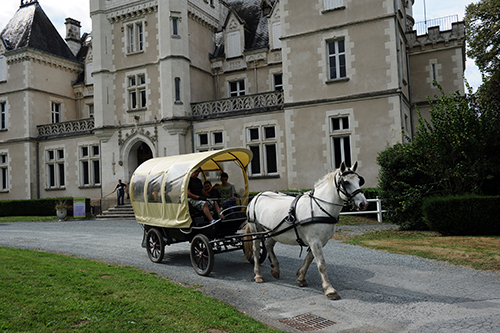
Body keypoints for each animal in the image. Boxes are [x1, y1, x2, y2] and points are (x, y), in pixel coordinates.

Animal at [245, 161, 368, 298]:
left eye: (359, 180)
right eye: (346, 182)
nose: (363, 203)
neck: (319, 207)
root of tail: (257, 196)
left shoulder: (320, 242)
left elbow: (309, 260)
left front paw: (301, 278)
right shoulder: (315, 241)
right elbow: (322, 265)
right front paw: (329, 289)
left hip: (275, 231)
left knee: (268, 244)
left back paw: (275, 268)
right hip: (256, 230)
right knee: (256, 250)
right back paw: (258, 275)